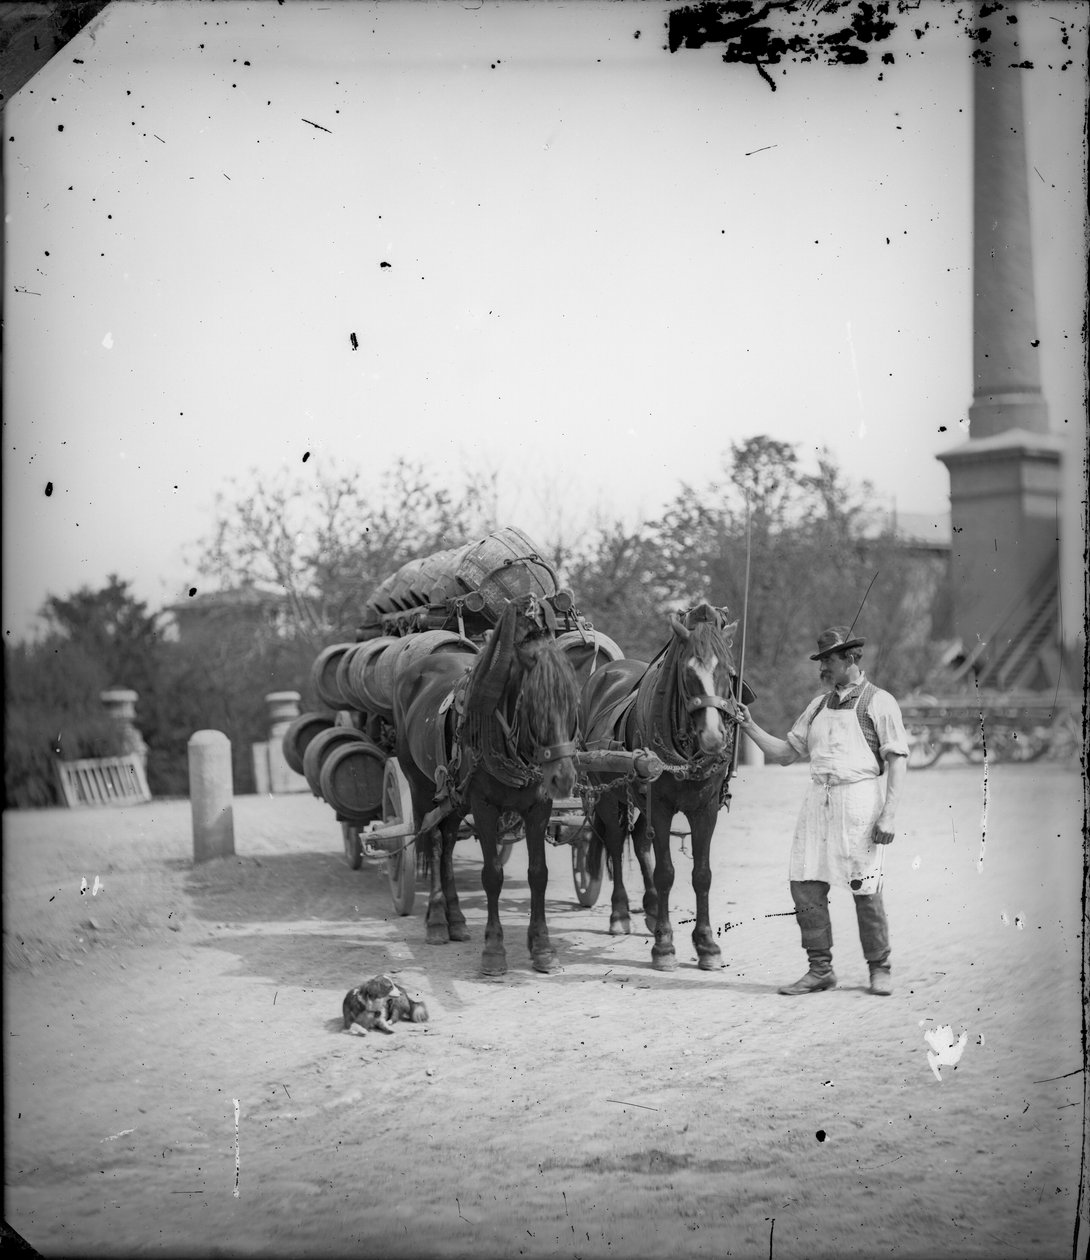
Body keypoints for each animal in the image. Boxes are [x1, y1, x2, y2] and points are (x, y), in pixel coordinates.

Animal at [388, 597, 579, 972]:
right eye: (535, 704)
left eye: (570, 703)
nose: (562, 778)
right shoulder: (484, 806)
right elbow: (492, 875)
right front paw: (493, 950)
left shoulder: (539, 807)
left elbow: (539, 873)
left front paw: (542, 947)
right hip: (421, 787)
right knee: (434, 841)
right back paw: (437, 921)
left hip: (453, 797)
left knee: (447, 842)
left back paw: (457, 921)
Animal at [579, 599, 745, 972]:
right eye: (687, 673)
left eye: (729, 675)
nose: (713, 738)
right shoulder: (663, 808)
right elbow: (666, 872)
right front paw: (665, 946)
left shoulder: (705, 809)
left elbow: (701, 874)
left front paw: (707, 944)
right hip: (611, 797)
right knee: (616, 843)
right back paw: (620, 914)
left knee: (641, 842)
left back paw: (653, 910)